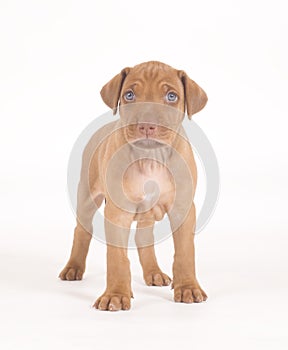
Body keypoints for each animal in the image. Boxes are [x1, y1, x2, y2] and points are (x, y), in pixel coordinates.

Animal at [59, 61, 207, 310]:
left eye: (171, 96)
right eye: (129, 95)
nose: (147, 125)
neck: (151, 158)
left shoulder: (183, 208)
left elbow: (186, 252)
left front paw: (188, 287)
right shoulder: (117, 212)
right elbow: (117, 258)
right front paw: (116, 295)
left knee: (143, 238)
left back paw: (154, 273)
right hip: (88, 196)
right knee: (82, 230)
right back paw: (73, 268)